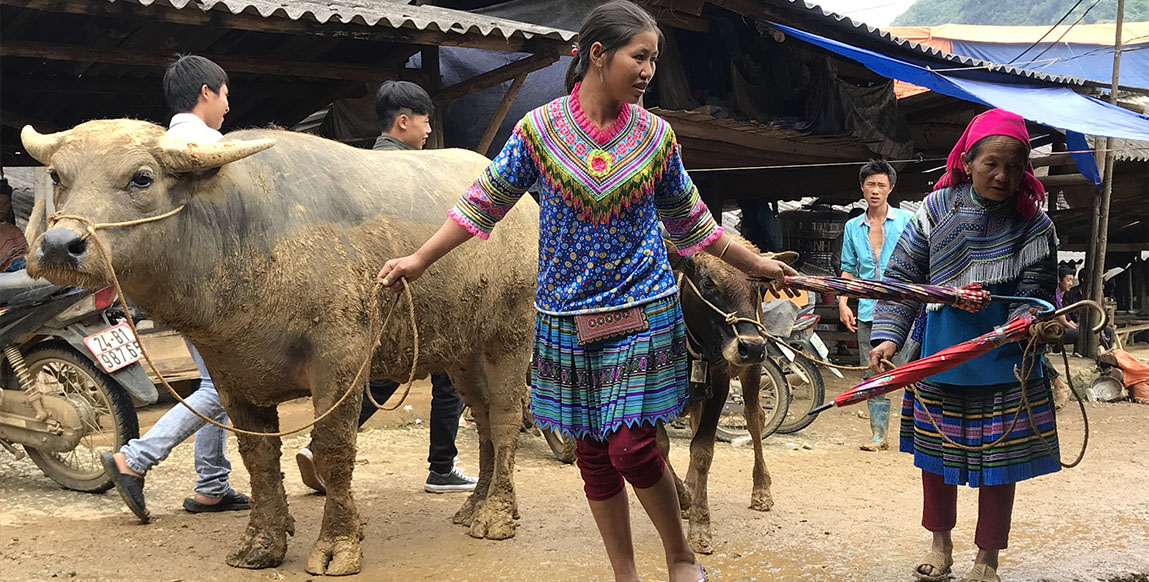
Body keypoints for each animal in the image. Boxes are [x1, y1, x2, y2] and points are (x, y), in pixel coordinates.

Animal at [19, 120, 537, 576]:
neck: (245, 239)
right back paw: (475, 505)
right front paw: (262, 543)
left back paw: (496, 514)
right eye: (57, 176)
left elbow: (332, 452)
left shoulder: (341, 363)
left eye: (141, 177)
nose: (60, 245)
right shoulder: (230, 377)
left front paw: (337, 545)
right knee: (483, 420)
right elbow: (259, 459)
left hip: (511, 335)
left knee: (506, 416)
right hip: (463, 352)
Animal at [657, 237, 790, 555]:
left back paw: (761, 489)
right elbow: (662, 446)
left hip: (752, 372)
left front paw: (700, 527)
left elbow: (703, 450)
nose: (751, 347)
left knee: (755, 419)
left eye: (759, 286)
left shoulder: (718, 382)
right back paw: (691, 486)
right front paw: (684, 497)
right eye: (708, 282)